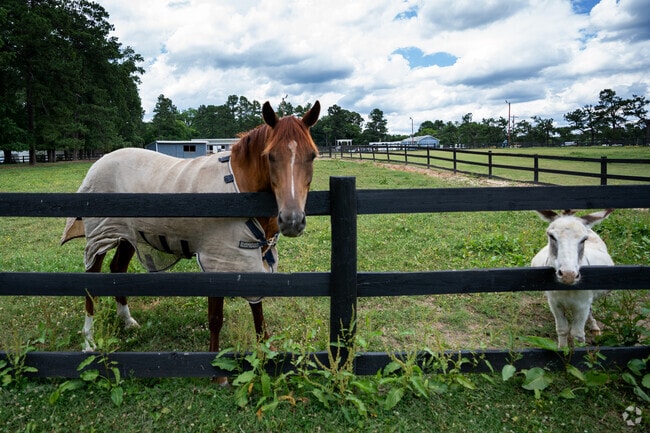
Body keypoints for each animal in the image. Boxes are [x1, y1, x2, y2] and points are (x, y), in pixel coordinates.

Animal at [61, 101, 320, 384]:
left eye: (312, 156)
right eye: (270, 156)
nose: (292, 220)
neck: (239, 187)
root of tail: (99, 162)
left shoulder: (254, 257)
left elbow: (258, 313)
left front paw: (265, 356)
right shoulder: (217, 259)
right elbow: (216, 317)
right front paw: (217, 373)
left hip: (128, 236)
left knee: (117, 269)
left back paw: (127, 321)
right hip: (101, 235)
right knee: (92, 283)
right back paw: (88, 341)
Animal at [530, 209, 614, 348]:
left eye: (584, 239)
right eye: (551, 236)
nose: (568, 275)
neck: (567, 289)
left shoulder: (582, 305)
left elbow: (578, 335)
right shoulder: (555, 303)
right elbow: (562, 329)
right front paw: (562, 349)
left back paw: (594, 326)